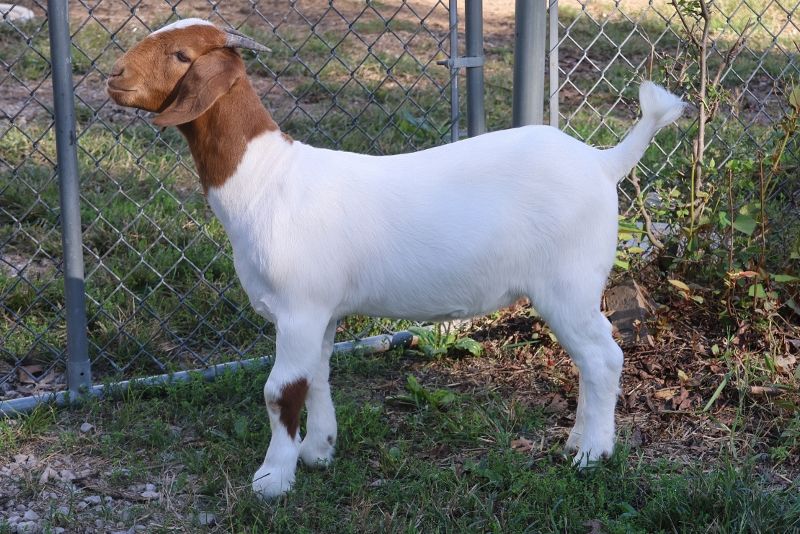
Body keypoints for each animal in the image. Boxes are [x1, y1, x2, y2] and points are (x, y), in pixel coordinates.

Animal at [107, 19, 685, 500]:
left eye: (181, 54)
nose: (114, 75)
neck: (266, 178)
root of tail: (601, 162)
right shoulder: (322, 310)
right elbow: (317, 375)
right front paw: (317, 451)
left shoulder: (297, 307)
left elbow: (281, 391)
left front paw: (272, 479)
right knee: (592, 359)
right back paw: (577, 442)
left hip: (569, 282)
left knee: (603, 357)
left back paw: (592, 453)